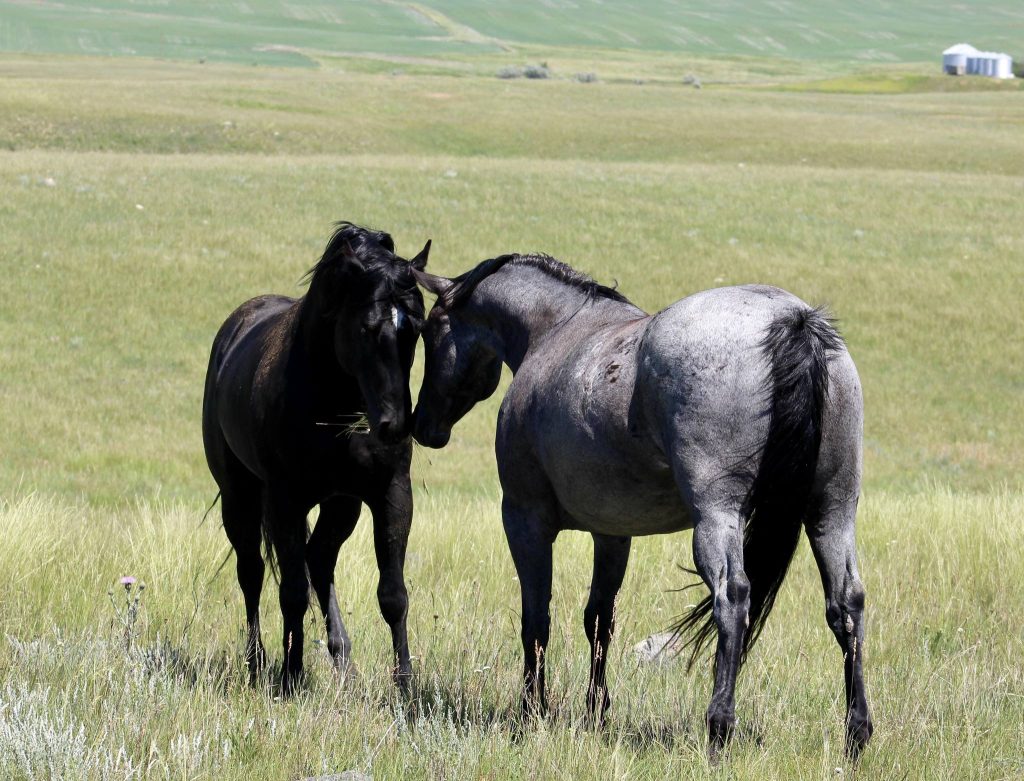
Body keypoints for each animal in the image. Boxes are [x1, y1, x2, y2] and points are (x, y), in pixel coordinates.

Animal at [202, 222, 429, 694]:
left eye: (416, 328)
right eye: (366, 328)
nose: (395, 425)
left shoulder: (389, 494)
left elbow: (393, 595)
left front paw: (405, 686)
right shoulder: (284, 500)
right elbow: (290, 591)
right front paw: (290, 676)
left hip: (341, 505)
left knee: (319, 560)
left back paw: (342, 657)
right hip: (239, 496)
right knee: (252, 572)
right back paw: (256, 662)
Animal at [411, 253, 872, 756]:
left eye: (429, 331)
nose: (421, 426)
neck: (556, 329)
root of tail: (792, 319)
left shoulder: (524, 521)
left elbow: (537, 620)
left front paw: (531, 713)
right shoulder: (612, 533)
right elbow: (598, 620)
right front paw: (596, 713)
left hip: (718, 518)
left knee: (732, 598)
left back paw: (719, 727)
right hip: (831, 512)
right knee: (846, 604)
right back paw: (857, 732)